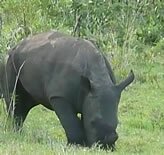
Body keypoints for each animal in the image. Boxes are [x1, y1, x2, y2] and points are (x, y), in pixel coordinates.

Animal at [0, 30, 134, 150]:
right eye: (93, 122)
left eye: (117, 123)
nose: (106, 147)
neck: (98, 79)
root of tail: (15, 46)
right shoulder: (59, 96)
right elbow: (70, 121)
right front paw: (77, 145)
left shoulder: (88, 95)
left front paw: (85, 144)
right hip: (9, 61)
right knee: (14, 99)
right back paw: (16, 133)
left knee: (26, 102)